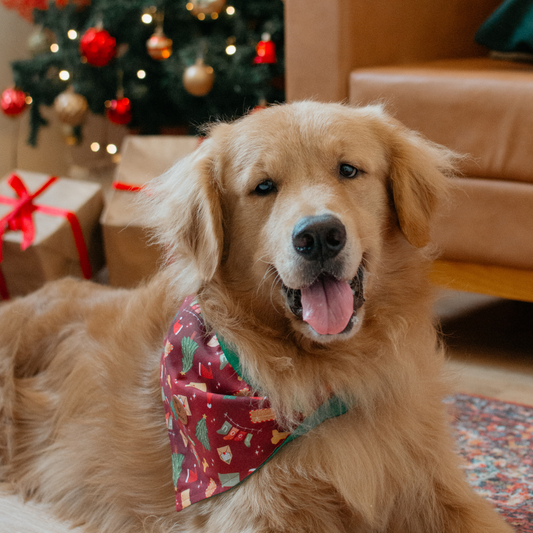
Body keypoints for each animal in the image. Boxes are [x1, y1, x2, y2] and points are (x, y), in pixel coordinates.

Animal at [0, 102, 516, 528]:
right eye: (263, 187)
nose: (319, 235)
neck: (332, 375)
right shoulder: (255, 513)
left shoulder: (437, 489)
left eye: (349, 170)